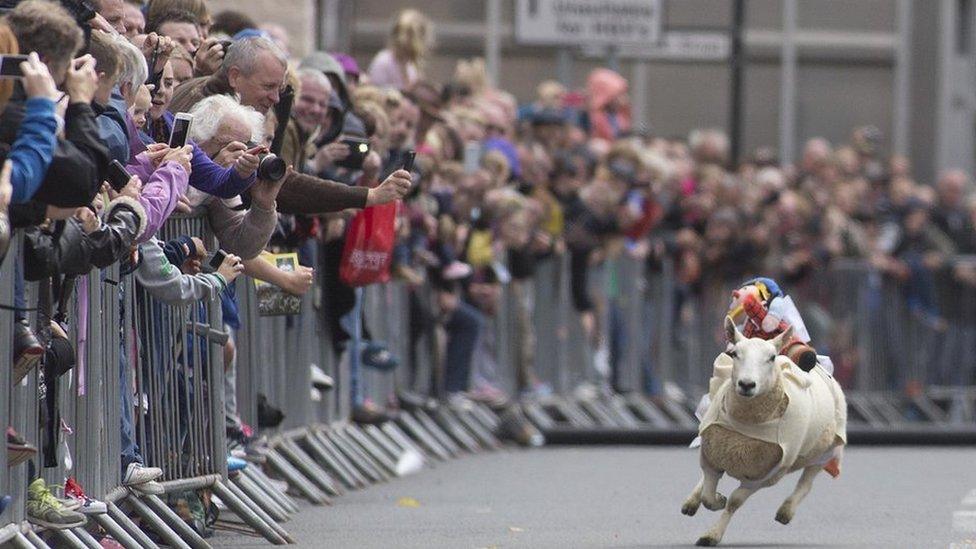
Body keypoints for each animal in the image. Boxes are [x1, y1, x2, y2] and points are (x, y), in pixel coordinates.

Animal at [680, 314, 848, 544]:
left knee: (807, 482)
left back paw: (786, 511)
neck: (746, 425)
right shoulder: (712, 454)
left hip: (824, 451)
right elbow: (707, 494)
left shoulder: (766, 476)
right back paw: (691, 502)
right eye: (734, 353)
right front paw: (716, 501)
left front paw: (712, 534)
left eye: (771, 357)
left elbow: (734, 502)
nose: (747, 384)